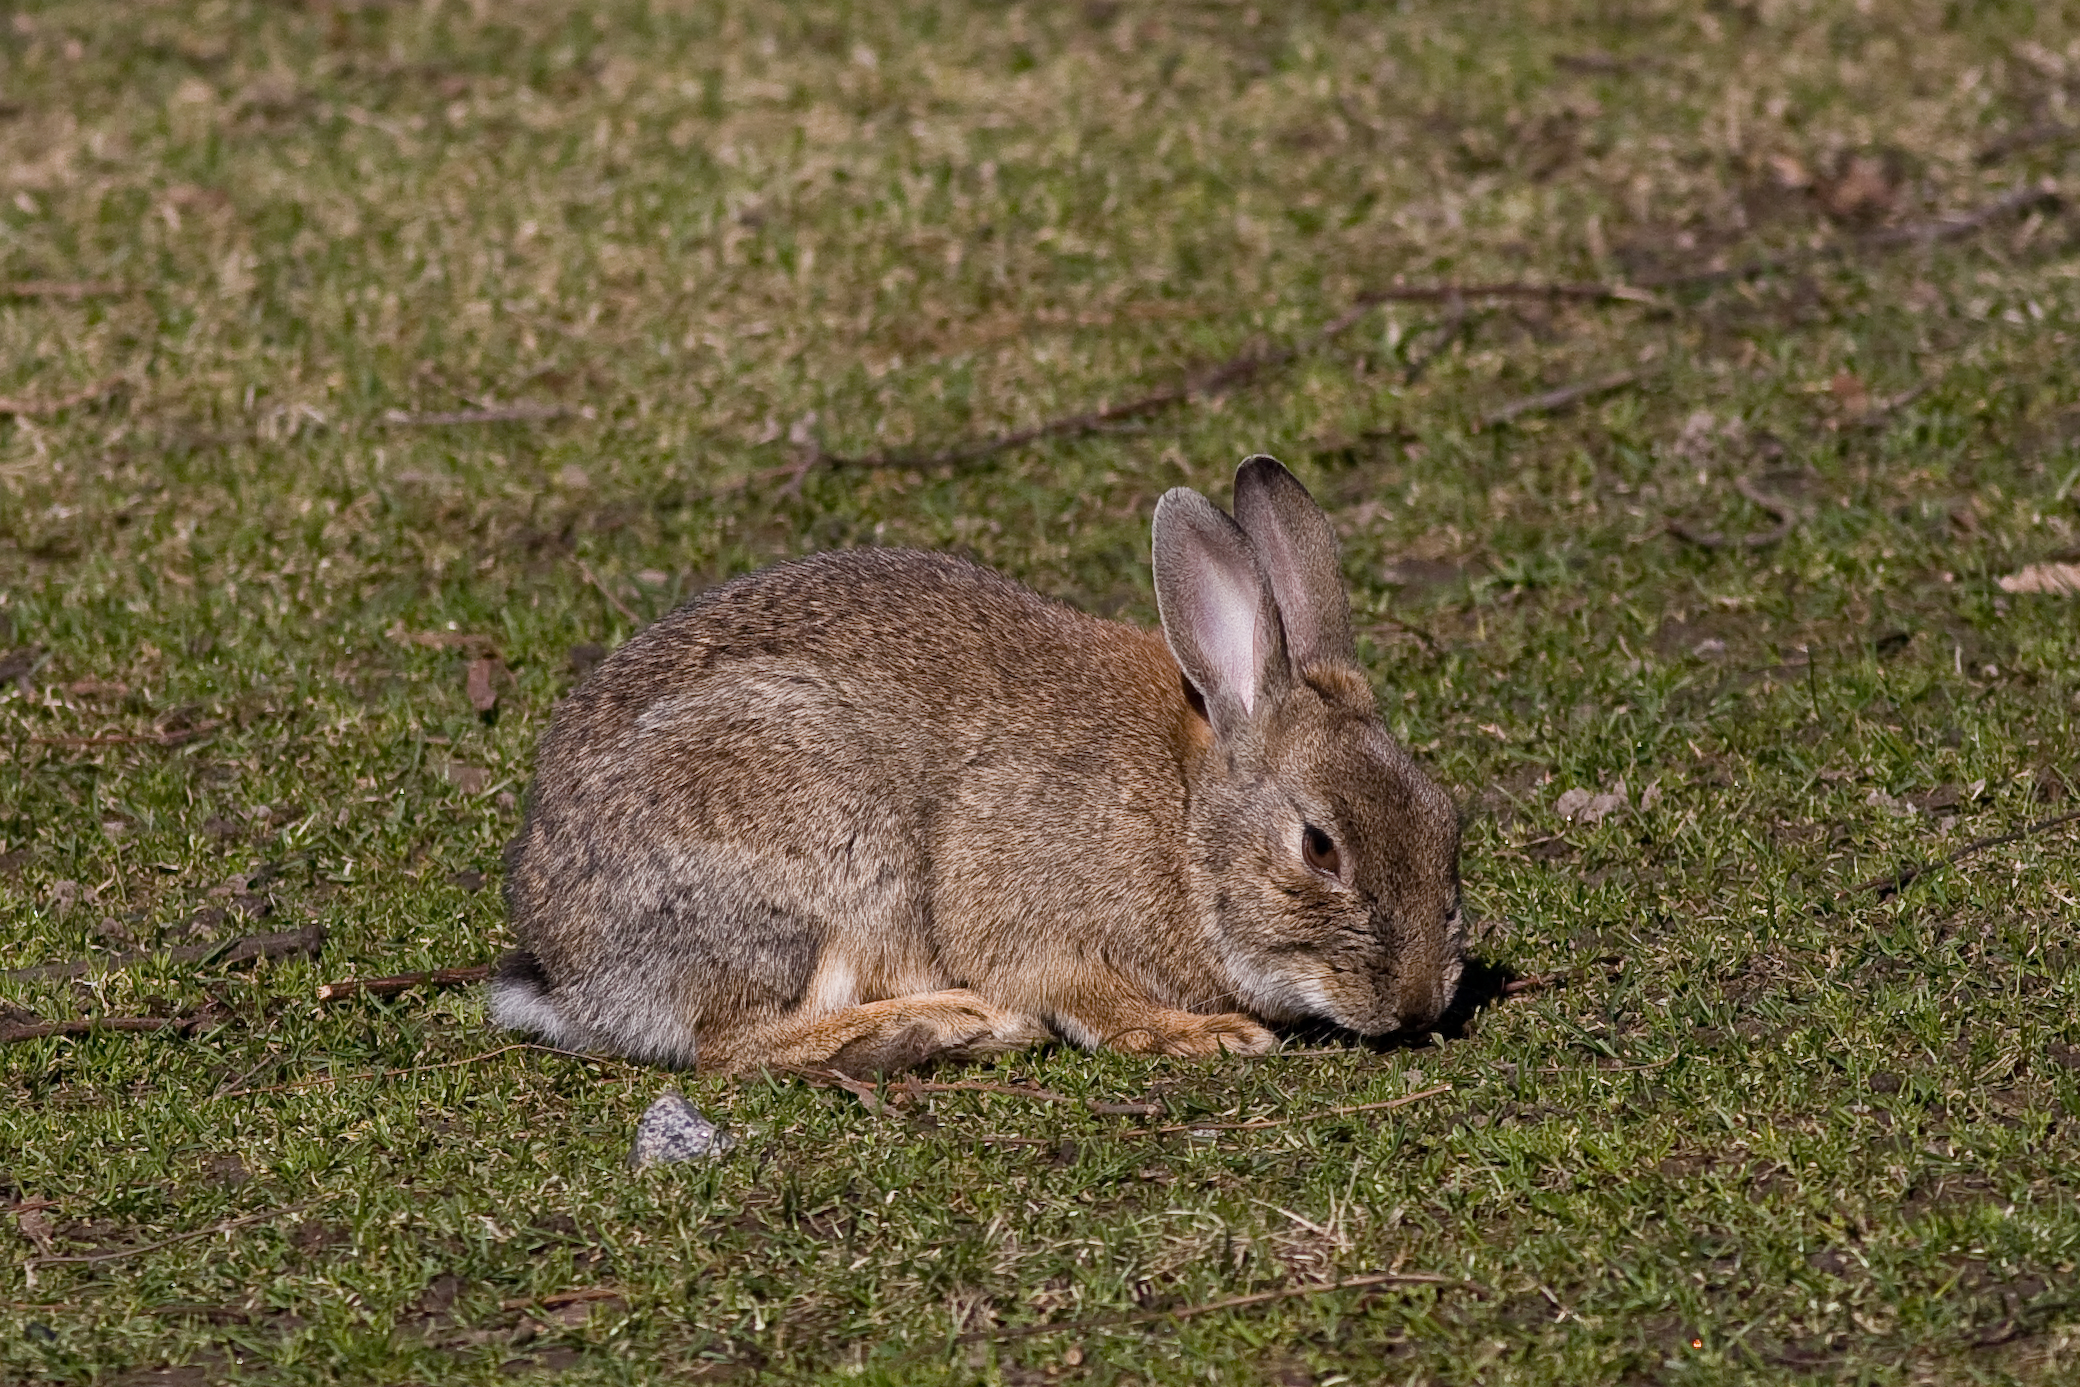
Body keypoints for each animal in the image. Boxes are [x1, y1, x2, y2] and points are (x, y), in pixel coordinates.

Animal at [492, 454, 1464, 1076]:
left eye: (1446, 816)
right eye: (1320, 847)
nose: (1419, 1004)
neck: (1185, 821)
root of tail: (577, 974)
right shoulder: (1020, 896)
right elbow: (1074, 987)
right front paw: (1206, 1035)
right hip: (822, 861)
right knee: (729, 1045)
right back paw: (950, 1024)